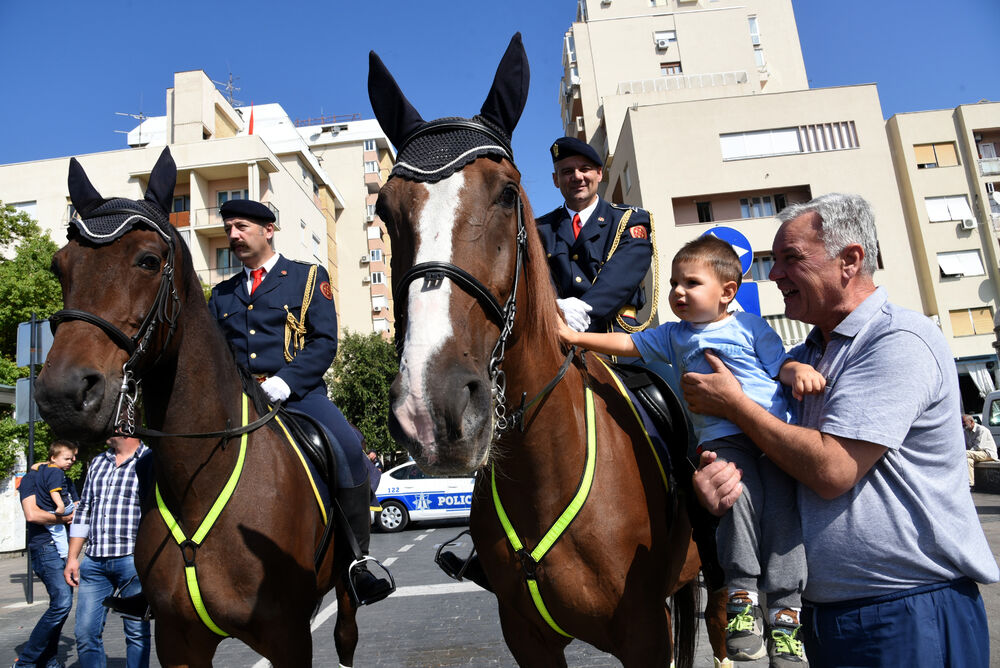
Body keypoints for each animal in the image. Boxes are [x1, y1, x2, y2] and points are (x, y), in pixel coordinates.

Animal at [33, 150, 362, 668]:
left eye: (149, 261)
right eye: (59, 265)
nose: (63, 394)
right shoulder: (178, 639)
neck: (199, 481)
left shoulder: (288, 637)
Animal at [368, 36, 728, 668]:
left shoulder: (644, 633)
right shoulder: (526, 637)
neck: (541, 466)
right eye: (385, 210)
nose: (434, 410)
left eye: (507, 193)